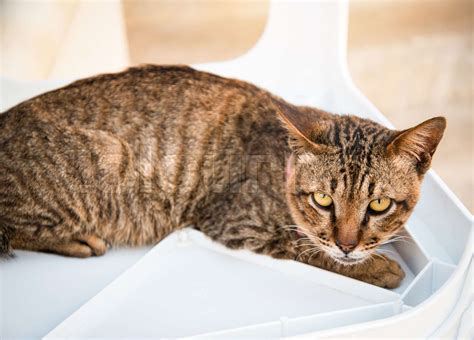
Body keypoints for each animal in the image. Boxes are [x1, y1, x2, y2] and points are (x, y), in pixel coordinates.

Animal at [0, 65, 444, 288]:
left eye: (379, 204)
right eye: (322, 200)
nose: (348, 244)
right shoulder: (238, 224)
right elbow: (307, 247)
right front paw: (377, 268)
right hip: (104, 158)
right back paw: (78, 241)